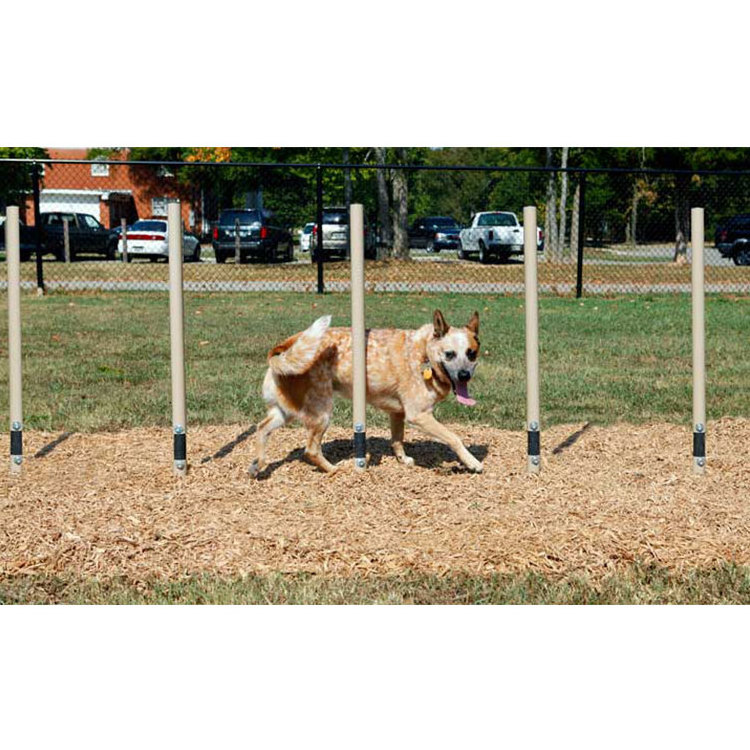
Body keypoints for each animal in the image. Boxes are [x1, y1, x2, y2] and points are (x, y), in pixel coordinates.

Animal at [250, 310, 484, 476]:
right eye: (450, 354)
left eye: (471, 354)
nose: (464, 375)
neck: (423, 354)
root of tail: (286, 345)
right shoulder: (419, 415)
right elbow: (454, 438)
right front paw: (473, 462)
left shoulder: (397, 413)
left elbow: (397, 439)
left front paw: (403, 460)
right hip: (322, 412)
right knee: (311, 450)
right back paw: (335, 469)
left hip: (285, 412)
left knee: (261, 429)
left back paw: (257, 465)